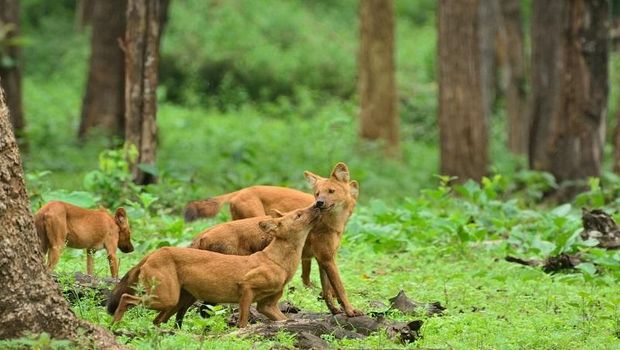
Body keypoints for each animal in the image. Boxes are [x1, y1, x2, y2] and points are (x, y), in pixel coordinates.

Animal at [106, 204, 320, 326]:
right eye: (299, 215)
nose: (318, 205)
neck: (279, 262)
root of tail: (153, 253)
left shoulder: (267, 305)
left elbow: (285, 320)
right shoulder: (246, 288)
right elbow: (243, 323)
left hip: (180, 299)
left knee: (157, 320)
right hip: (166, 297)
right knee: (126, 297)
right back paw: (114, 327)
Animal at [186, 163, 364, 318]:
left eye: (331, 191)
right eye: (317, 193)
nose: (319, 203)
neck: (333, 224)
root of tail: (202, 234)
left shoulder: (323, 258)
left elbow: (327, 290)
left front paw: (335, 311)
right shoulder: (327, 258)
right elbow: (339, 288)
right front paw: (351, 311)